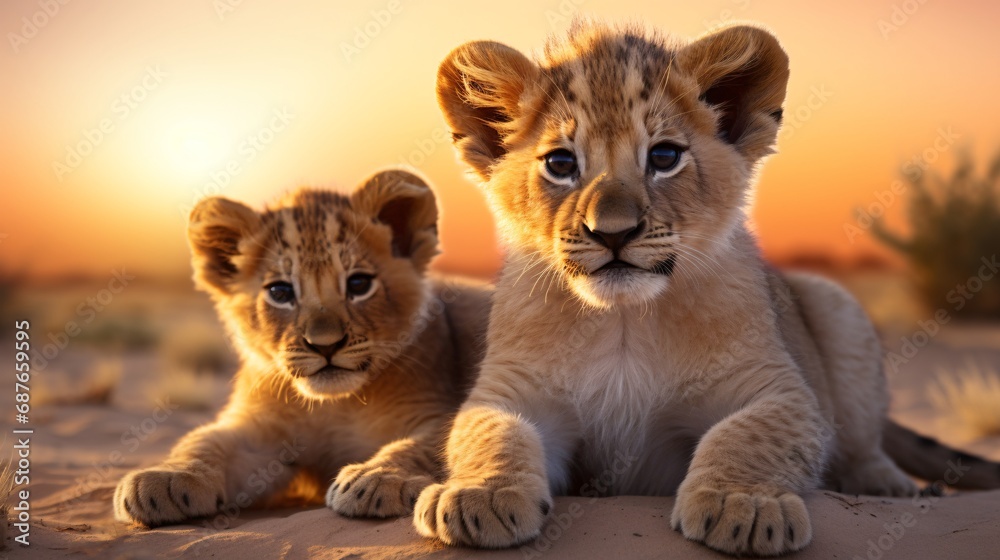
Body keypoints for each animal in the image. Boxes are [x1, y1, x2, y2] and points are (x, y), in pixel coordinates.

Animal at [113, 169, 490, 527]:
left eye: (359, 284)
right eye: (280, 292)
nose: (326, 345)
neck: (335, 406)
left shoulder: (436, 408)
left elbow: (425, 445)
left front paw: (378, 477)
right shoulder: (259, 430)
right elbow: (204, 441)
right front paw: (162, 479)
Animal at [412, 21, 1000, 556]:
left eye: (664, 156)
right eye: (560, 163)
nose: (613, 232)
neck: (623, 321)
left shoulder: (777, 388)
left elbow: (747, 434)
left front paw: (744, 505)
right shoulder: (512, 389)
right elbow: (491, 432)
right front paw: (479, 494)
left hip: (836, 304)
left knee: (864, 442)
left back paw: (890, 485)